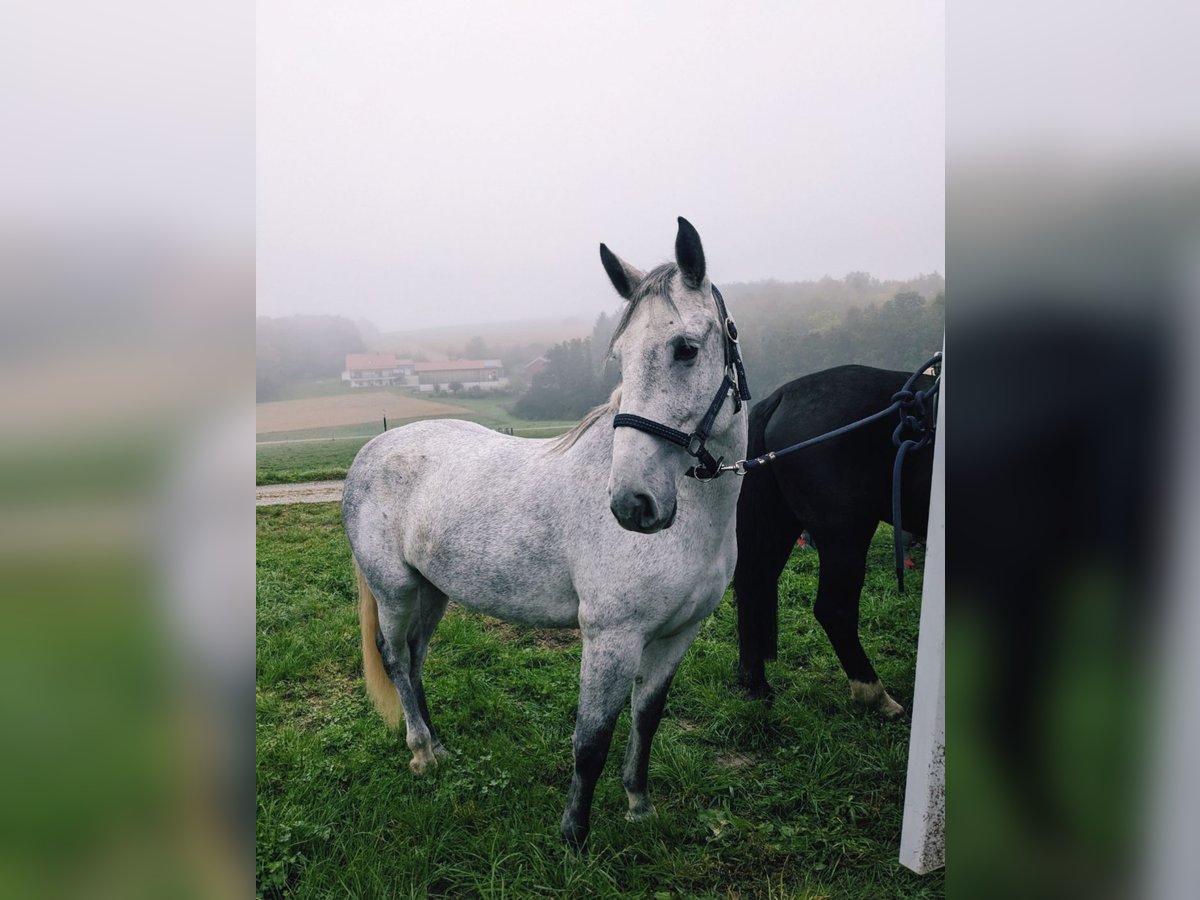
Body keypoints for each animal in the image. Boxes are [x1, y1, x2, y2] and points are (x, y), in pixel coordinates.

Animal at [343, 220, 744, 854]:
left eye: (686, 349)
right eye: (620, 358)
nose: (632, 503)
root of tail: (371, 450)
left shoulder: (677, 634)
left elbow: (645, 719)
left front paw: (639, 806)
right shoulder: (610, 637)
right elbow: (591, 740)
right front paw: (574, 838)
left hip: (433, 592)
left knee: (415, 653)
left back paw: (440, 745)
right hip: (396, 590)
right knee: (397, 658)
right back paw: (422, 754)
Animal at [729, 362, 936, 724]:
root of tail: (783, 395)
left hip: (780, 519)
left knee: (753, 584)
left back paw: (755, 685)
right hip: (845, 532)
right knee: (834, 609)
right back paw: (874, 696)